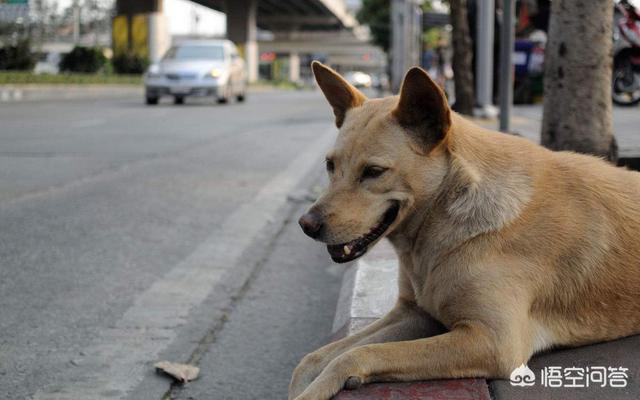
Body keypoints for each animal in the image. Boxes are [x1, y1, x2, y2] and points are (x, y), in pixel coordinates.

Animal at [288, 60, 640, 400]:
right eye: (330, 166)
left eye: (374, 171)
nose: (306, 225)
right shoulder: (414, 313)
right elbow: (316, 357)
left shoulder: (493, 342)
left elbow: (357, 355)